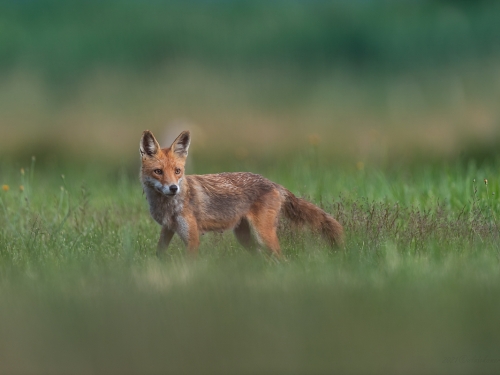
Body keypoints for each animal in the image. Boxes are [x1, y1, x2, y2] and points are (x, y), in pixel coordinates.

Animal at [141, 131, 344, 258]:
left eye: (177, 171)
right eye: (158, 172)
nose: (173, 188)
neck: (168, 206)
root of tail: (274, 184)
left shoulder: (193, 239)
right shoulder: (168, 228)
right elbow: (159, 254)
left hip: (263, 236)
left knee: (282, 259)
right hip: (245, 238)